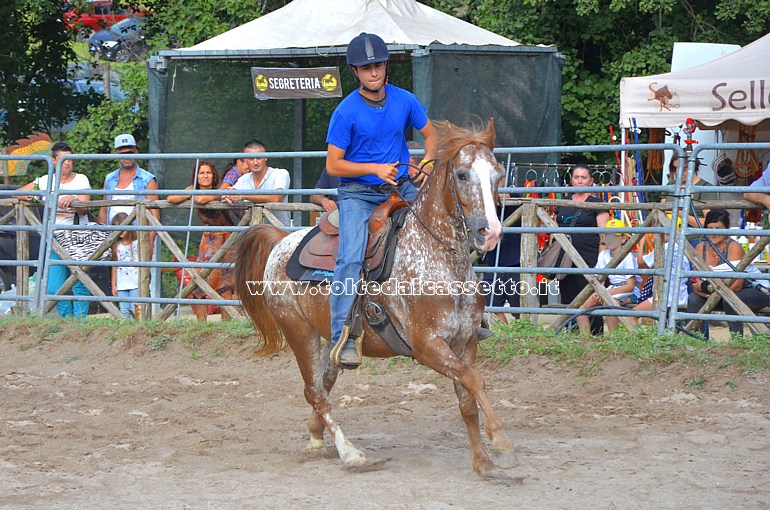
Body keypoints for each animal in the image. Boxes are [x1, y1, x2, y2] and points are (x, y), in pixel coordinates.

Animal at [236, 118, 516, 478]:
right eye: (462, 174)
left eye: (498, 173)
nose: (489, 232)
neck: (436, 257)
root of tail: (281, 240)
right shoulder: (428, 347)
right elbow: (475, 380)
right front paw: (501, 444)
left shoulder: (465, 343)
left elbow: (468, 399)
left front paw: (483, 462)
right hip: (298, 331)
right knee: (314, 392)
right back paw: (350, 453)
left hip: (331, 339)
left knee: (323, 384)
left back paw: (316, 435)